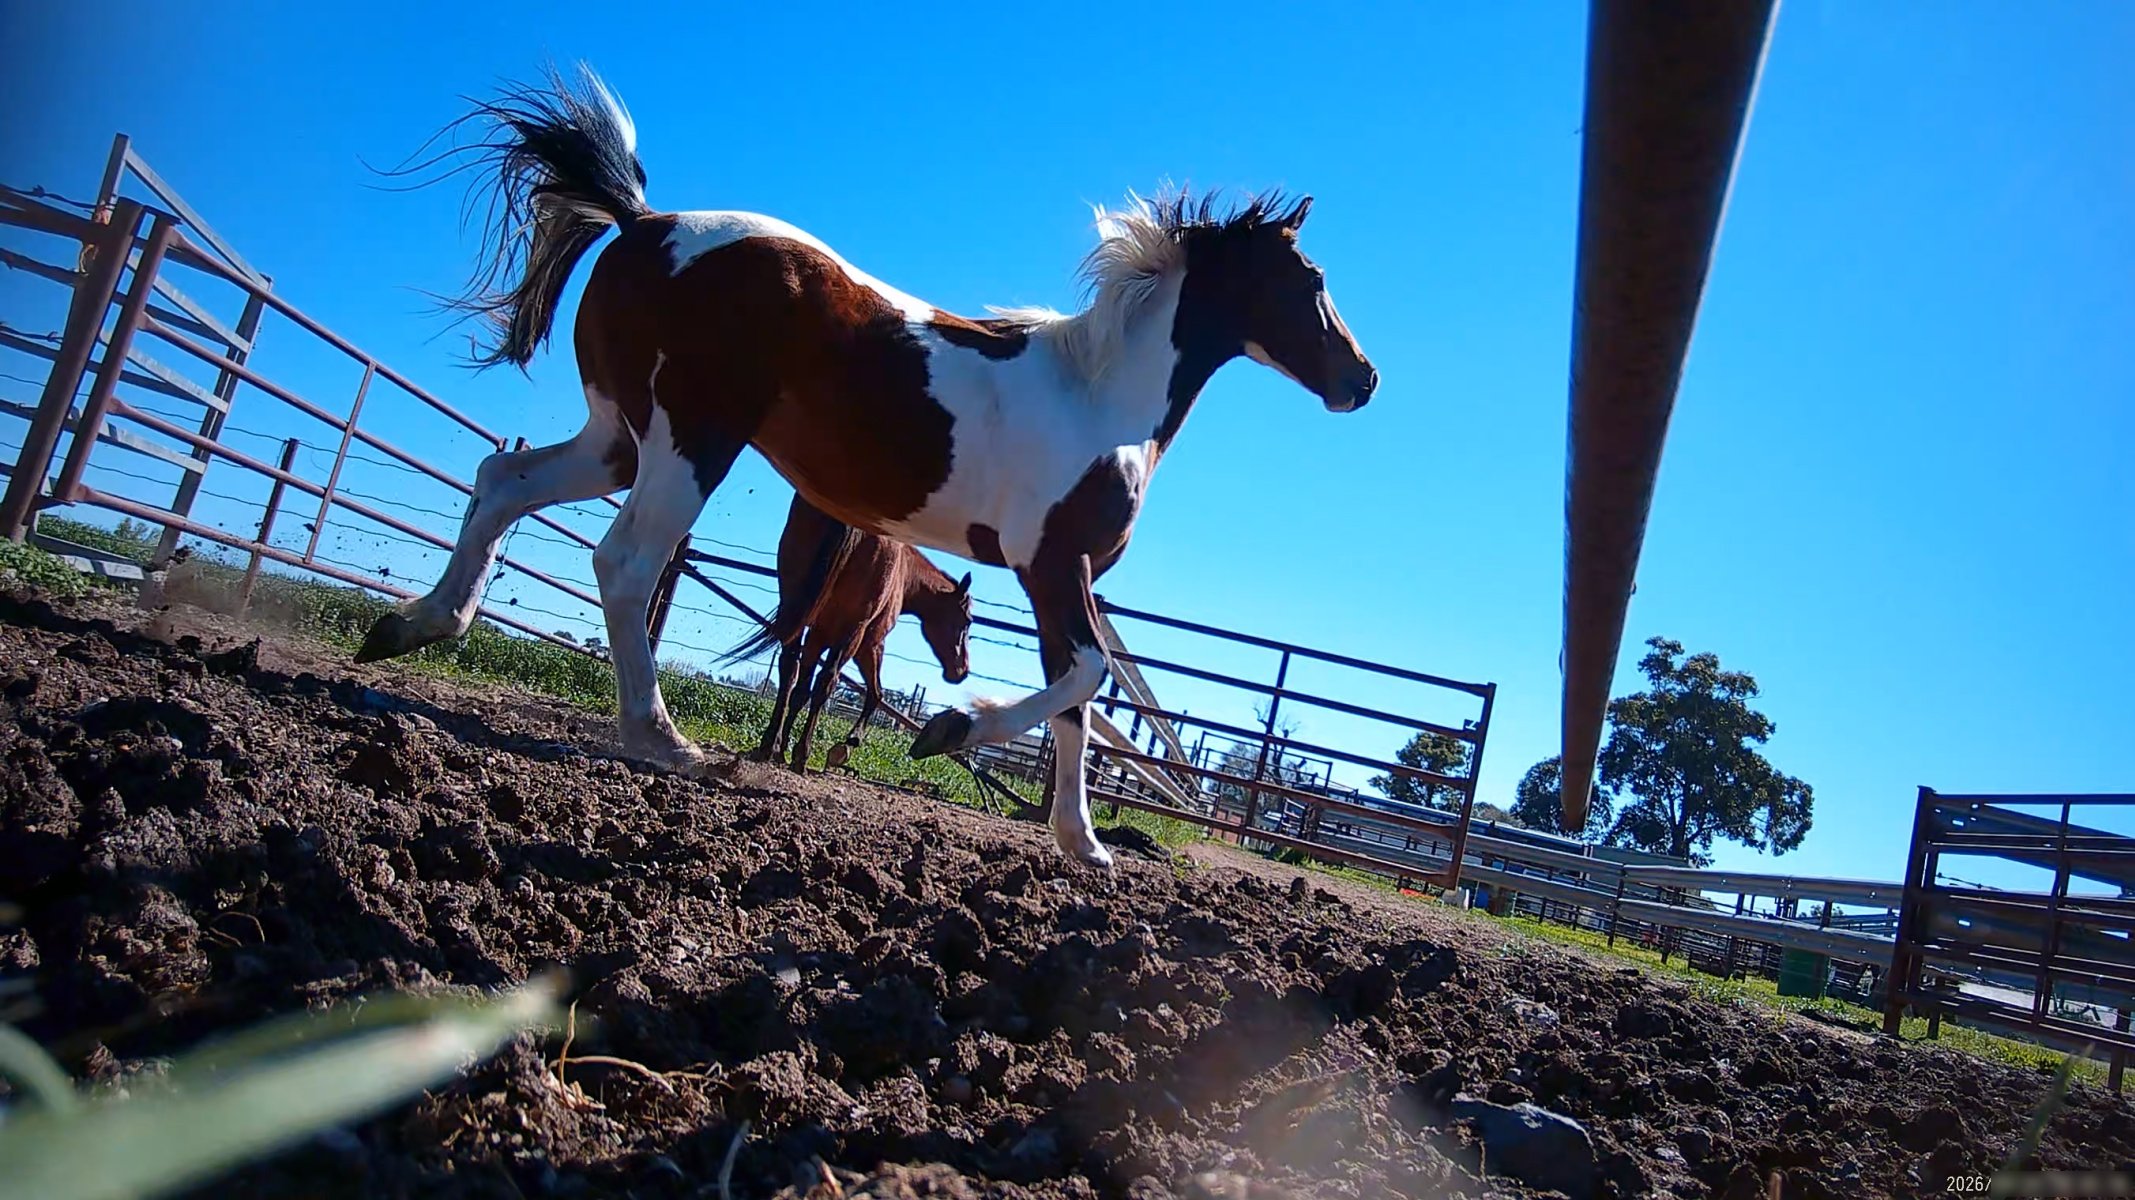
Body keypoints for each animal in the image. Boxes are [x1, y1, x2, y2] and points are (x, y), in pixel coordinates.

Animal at [739, 493, 973, 772]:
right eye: (967, 622)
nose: (961, 670)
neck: (905, 573)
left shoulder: (817, 635)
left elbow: (800, 690)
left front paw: (781, 749)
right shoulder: (869, 644)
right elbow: (875, 694)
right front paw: (850, 741)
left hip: (794, 609)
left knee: (789, 669)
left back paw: (768, 745)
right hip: (851, 632)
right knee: (827, 681)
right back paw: (803, 754)